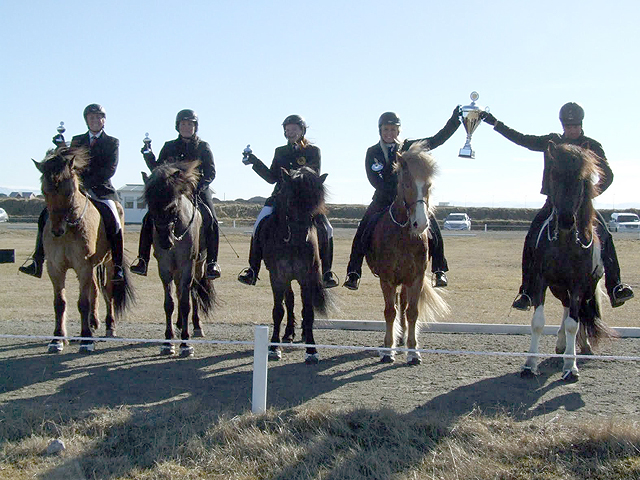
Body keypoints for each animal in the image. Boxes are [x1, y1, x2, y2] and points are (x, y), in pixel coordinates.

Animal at [34, 148, 134, 354]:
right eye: (44, 191)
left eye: (69, 191)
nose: (57, 231)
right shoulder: (55, 267)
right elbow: (60, 303)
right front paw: (57, 339)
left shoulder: (83, 265)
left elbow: (83, 303)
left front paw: (86, 340)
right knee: (94, 289)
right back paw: (93, 322)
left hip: (108, 262)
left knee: (107, 291)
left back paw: (109, 327)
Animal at [143, 161, 218, 356]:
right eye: (150, 207)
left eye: (172, 206)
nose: (165, 242)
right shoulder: (165, 268)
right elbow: (169, 303)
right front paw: (168, 341)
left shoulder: (187, 266)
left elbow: (185, 303)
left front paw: (185, 343)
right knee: (179, 292)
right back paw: (178, 324)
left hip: (198, 266)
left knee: (193, 293)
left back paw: (197, 326)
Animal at [260, 165, 330, 364]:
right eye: (290, 200)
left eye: (316, 203)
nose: (302, 238)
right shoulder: (277, 277)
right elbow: (278, 311)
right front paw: (274, 347)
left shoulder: (307, 277)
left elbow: (309, 311)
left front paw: (312, 350)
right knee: (289, 300)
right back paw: (288, 333)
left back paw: (304, 333)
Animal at [364, 142, 450, 364]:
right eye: (407, 184)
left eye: (428, 186)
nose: (420, 223)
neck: (402, 234)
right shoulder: (387, 279)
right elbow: (389, 312)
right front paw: (388, 350)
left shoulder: (416, 278)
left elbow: (412, 312)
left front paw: (413, 351)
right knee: (395, 306)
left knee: (403, 305)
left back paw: (402, 338)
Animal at [524, 141, 616, 380]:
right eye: (554, 174)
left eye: (581, 178)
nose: (566, 220)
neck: (565, 242)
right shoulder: (541, 281)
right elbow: (538, 323)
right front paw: (529, 364)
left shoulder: (578, 285)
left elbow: (573, 324)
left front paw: (570, 367)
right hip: (558, 287)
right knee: (566, 309)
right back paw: (561, 344)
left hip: (587, 287)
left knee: (578, 314)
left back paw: (580, 346)